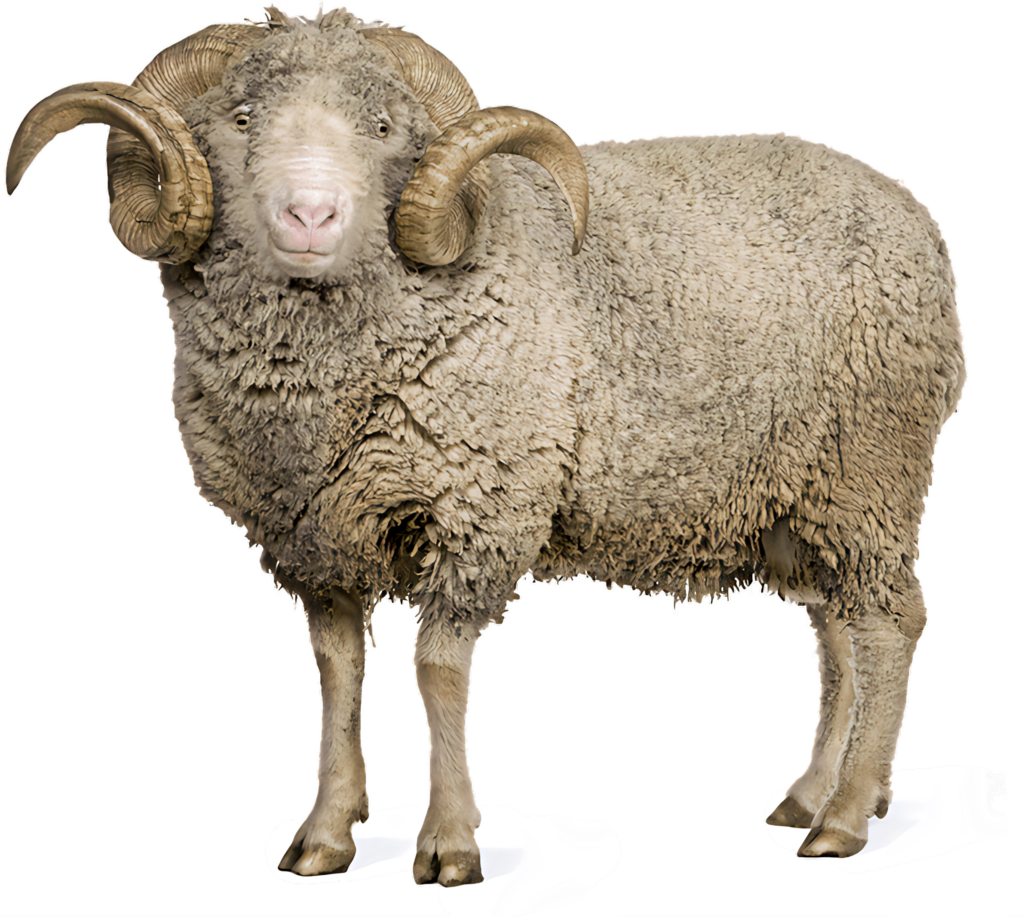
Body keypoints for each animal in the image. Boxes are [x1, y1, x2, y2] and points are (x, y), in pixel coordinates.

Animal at [5, 0, 967, 886]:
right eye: (240, 119)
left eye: (383, 128)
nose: (310, 215)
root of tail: (910, 211)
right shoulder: (316, 536)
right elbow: (337, 670)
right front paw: (325, 832)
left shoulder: (481, 505)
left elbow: (436, 668)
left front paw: (449, 844)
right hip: (795, 495)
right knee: (835, 628)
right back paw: (811, 793)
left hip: (868, 467)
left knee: (890, 622)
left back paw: (845, 816)